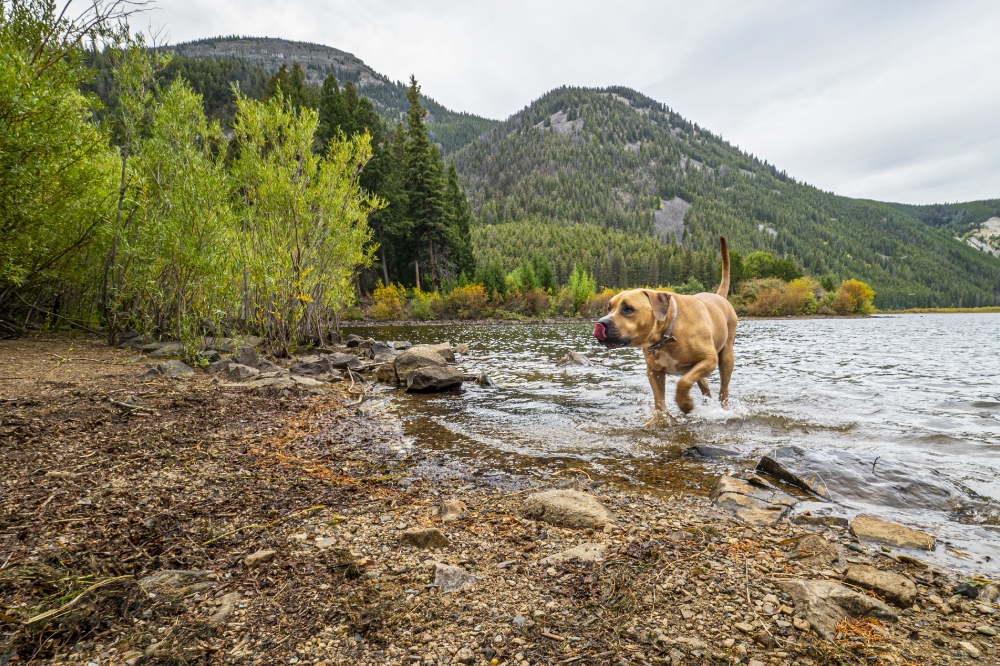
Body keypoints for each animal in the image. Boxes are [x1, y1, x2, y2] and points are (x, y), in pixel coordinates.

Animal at [592, 236, 736, 418]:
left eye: (628, 309)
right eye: (609, 308)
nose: (601, 323)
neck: (667, 333)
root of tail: (719, 297)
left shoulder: (709, 359)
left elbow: (684, 381)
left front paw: (685, 404)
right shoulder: (654, 371)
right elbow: (660, 400)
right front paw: (661, 417)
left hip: (726, 357)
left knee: (724, 389)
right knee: (703, 383)